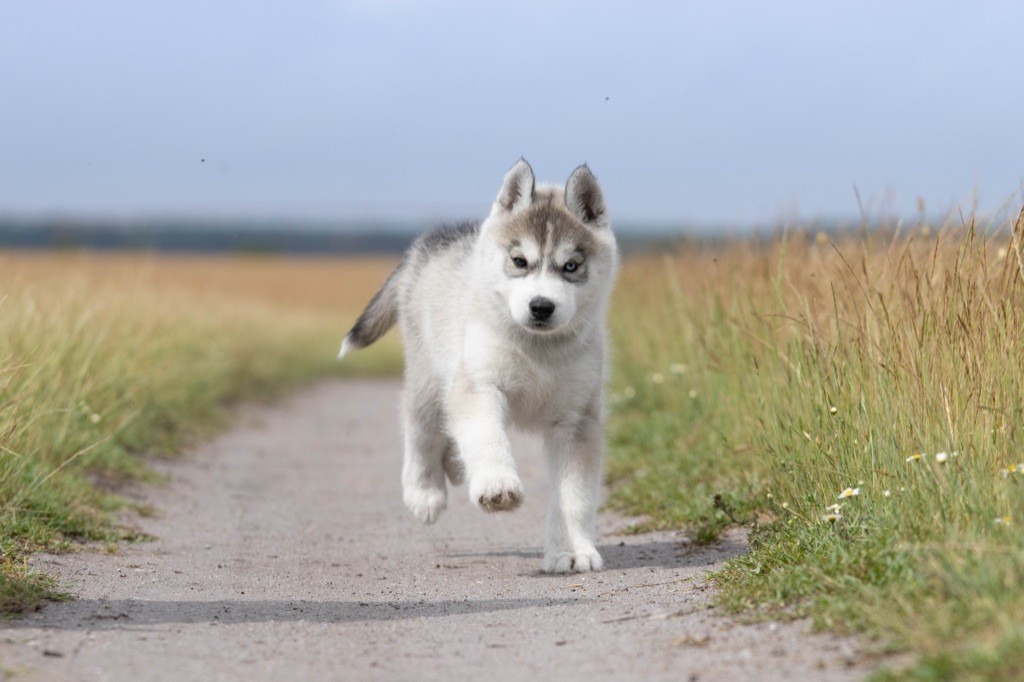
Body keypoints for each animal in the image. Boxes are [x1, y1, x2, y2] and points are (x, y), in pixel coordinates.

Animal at [342, 159, 614, 569]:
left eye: (571, 266)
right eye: (519, 262)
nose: (541, 307)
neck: (538, 349)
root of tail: (432, 240)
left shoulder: (577, 419)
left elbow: (574, 494)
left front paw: (571, 551)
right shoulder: (478, 385)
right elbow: (486, 436)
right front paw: (496, 485)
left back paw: (454, 467)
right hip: (430, 375)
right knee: (420, 425)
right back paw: (424, 491)